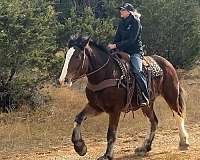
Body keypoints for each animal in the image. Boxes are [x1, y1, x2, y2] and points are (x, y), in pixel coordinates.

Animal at [58, 35, 189, 159]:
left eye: (77, 56)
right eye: (66, 56)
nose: (63, 80)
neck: (106, 74)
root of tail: (167, 63)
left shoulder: (115, 110)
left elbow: (111, 133)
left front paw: (107, 155)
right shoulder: (96, 106)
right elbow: (78, 119)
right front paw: (80, 146)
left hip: (171, 94)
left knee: (178, 115)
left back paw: (183, 142)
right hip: (147, 104)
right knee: (154, 121)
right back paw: (145, 147)